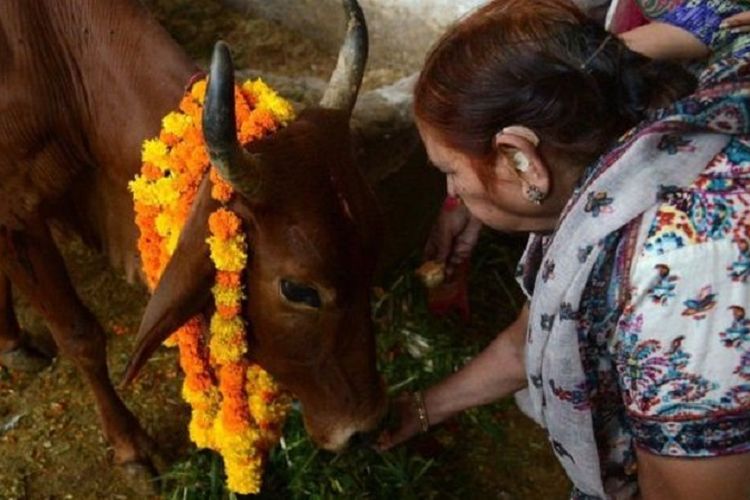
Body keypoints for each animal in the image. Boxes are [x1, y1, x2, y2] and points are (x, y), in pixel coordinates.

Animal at [0, 0, 388, 476]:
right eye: (299, 290)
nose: (367, 427)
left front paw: (11, 340)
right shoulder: (15, 211)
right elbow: (80, 336)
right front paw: (131, 445)